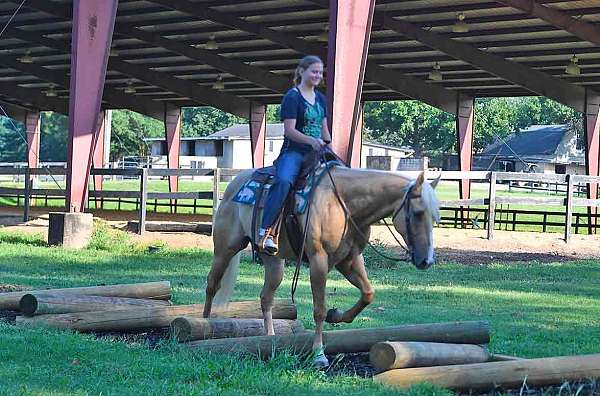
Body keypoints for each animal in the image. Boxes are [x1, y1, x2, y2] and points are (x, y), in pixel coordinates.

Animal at [202, 166, 440, 366]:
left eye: (435, 217)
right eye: (418, 213)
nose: (426, 261)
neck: (343, 205)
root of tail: (233, 185)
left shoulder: (350, 260)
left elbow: (367, 293)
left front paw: (337, 315)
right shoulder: (319, 261)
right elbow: (319, 310)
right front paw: (319, 354)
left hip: (274, 262)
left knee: (265, 297)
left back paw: (269, 338)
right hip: (225, 249)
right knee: (212, 285)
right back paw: (203, 326)